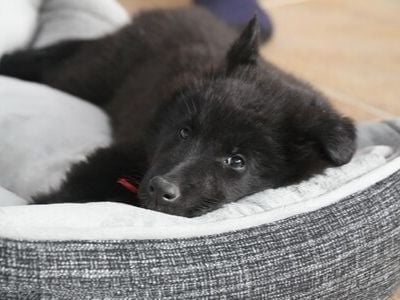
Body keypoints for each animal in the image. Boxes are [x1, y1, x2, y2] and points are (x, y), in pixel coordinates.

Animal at [0, 8, 356, 217]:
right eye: (184, 131)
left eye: (237, 161)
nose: (161, 189)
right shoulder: (125, 151)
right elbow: (77, 189)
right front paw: (38, 208)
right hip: (88, 76)